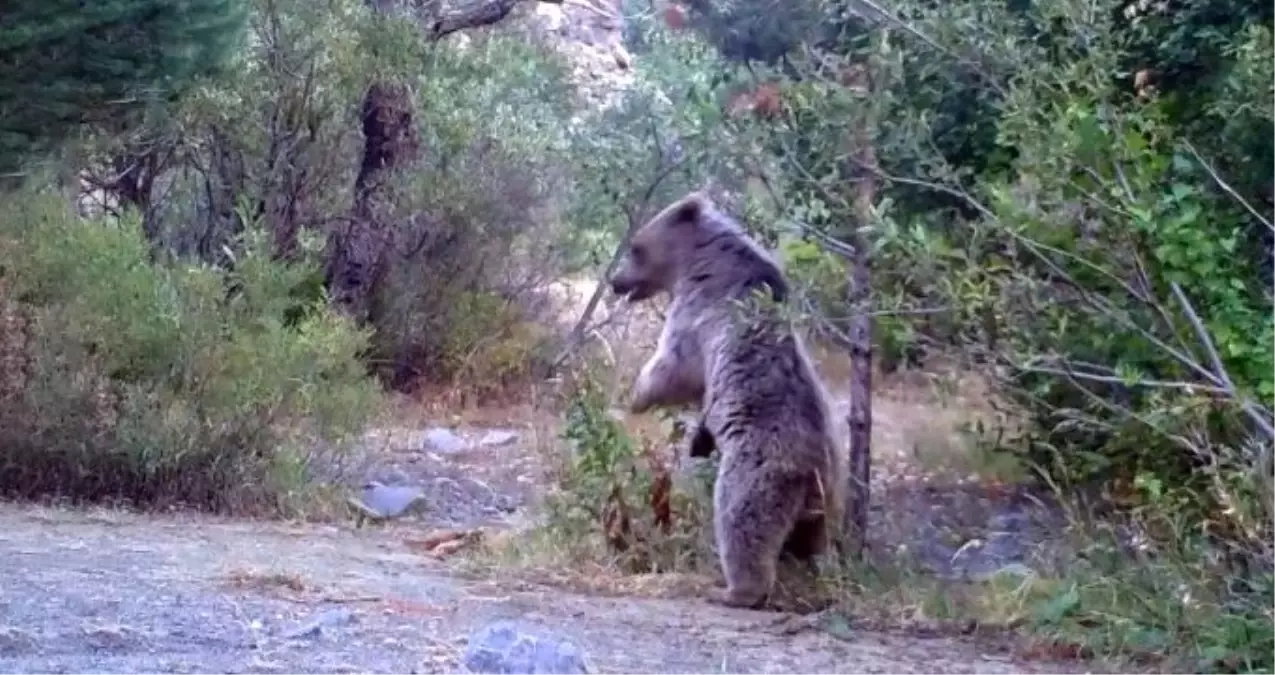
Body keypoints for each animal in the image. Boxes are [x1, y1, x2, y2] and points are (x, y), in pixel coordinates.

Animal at [606, 187, 846, 604]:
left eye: (636, 248)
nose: (615, 281)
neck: (700, 262)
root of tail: (814, 465)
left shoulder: (700, 313)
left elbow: (674, 365)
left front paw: (637, 393)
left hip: (757, 472)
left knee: (740, 521)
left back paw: (735, 590)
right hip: (825, 497)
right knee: (813, 540)